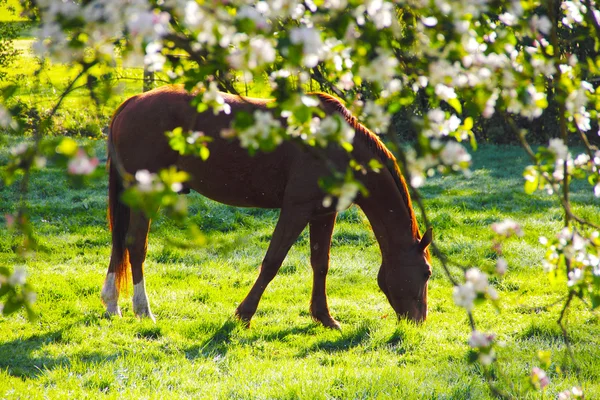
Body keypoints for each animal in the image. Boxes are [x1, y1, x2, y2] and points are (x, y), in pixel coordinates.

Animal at [103, 85, 432, 328]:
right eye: (427, 272)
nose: (418, 321)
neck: (338, 146)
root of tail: (131, 102)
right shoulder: (296, 209)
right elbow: (272, 262)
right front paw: (243, 315)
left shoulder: (324, 214)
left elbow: (320, 263)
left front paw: (324, 318)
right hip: (146, 193)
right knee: (136, 245)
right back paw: (143, 311)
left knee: (120, 244)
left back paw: (111, 304)